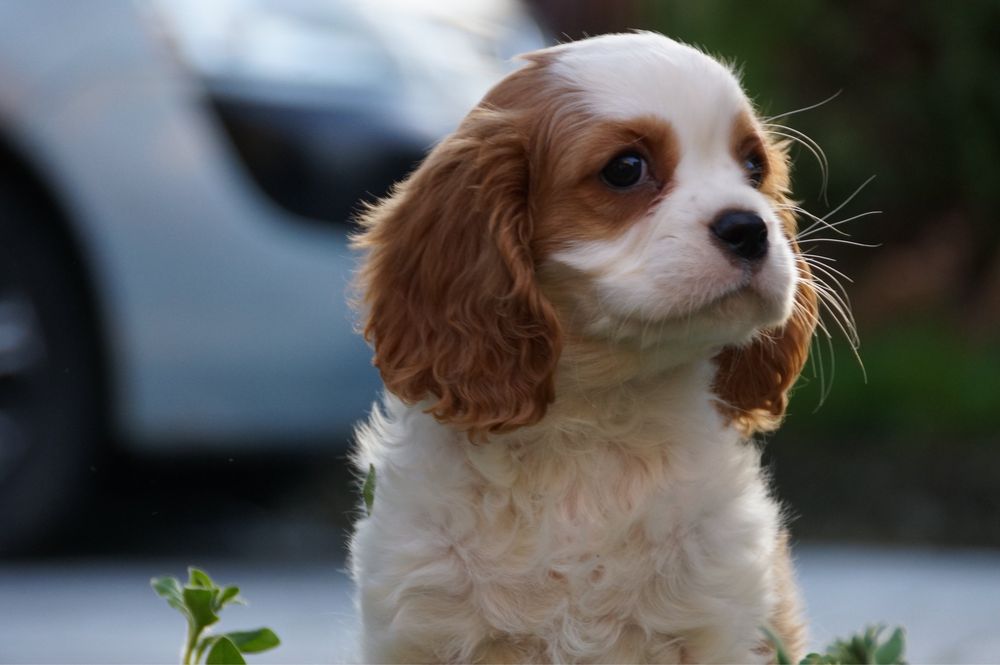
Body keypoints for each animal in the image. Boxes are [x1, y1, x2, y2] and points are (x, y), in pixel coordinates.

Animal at [348, 32, 816, 664]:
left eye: (753, 166)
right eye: (625, 169)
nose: (750, 227)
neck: (592, 424)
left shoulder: (723, 624)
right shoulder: (425, 627)